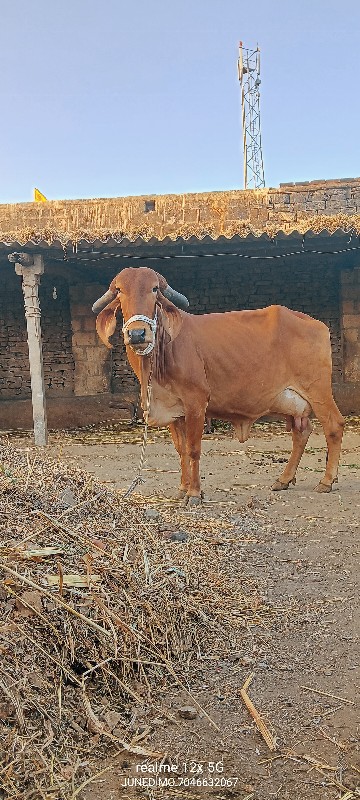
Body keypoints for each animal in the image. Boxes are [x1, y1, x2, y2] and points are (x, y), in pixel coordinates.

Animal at [91, 268, 344, 506]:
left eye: (154, 289)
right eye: (120, 291)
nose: (137, 333)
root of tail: (314, 323)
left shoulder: (196, 402)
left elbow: (193, 449)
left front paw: (194, 493)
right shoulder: (174, 411)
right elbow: (181, 450)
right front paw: (183, 488)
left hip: (318, 390)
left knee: (333, 425)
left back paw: (326, 481)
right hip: (291, 402)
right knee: (301, 432)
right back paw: (283, 479)